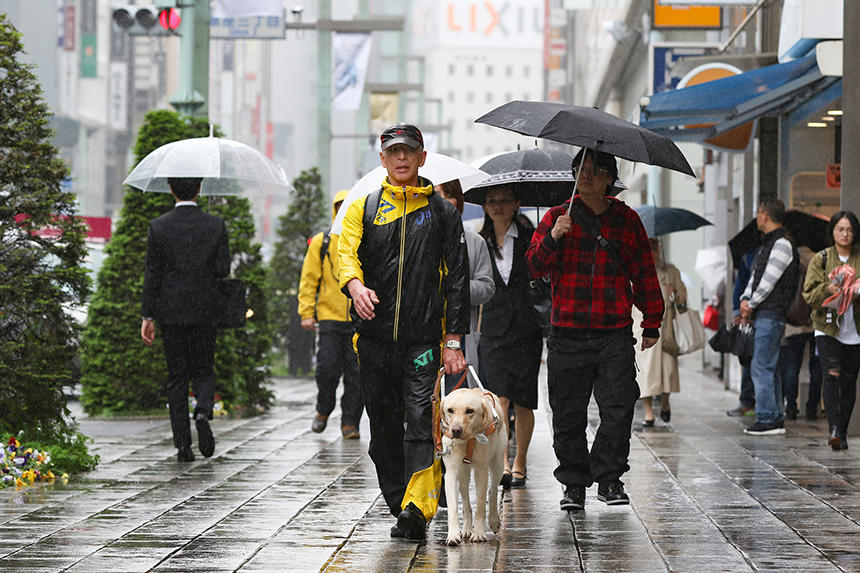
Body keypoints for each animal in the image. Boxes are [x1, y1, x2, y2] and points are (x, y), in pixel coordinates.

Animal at [440, 368, 508, 544]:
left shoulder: (481, 470)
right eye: (450, 410)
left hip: (498, 463)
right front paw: (453, 534)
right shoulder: (451, 472)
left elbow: (480, 505)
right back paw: (466, 528)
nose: (456, 430)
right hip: (463, 473)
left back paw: (493, 520)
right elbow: (453, 507)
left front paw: (478, 533)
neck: (468, 440)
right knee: (465, 500)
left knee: (492, 491)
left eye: (470, 411)